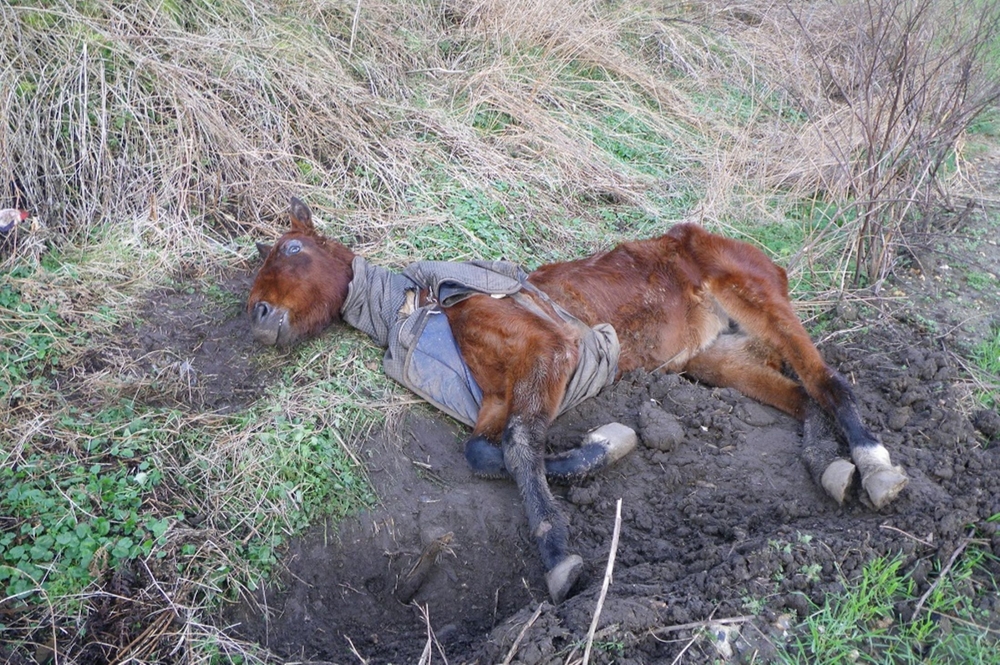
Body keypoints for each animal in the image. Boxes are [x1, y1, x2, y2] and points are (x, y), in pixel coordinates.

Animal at [248, 196, 908, 600]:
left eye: (292, 250)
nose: (256, 316)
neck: (429, 309)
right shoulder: (495, 397)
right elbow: (485, 452)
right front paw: (605, 446)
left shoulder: (552, 351)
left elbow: (519, 445)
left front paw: (558, 555)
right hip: (716, 355)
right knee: (802, 398)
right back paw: (829, 464)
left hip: (757, 299)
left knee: (829, 382)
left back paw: (875, 465)